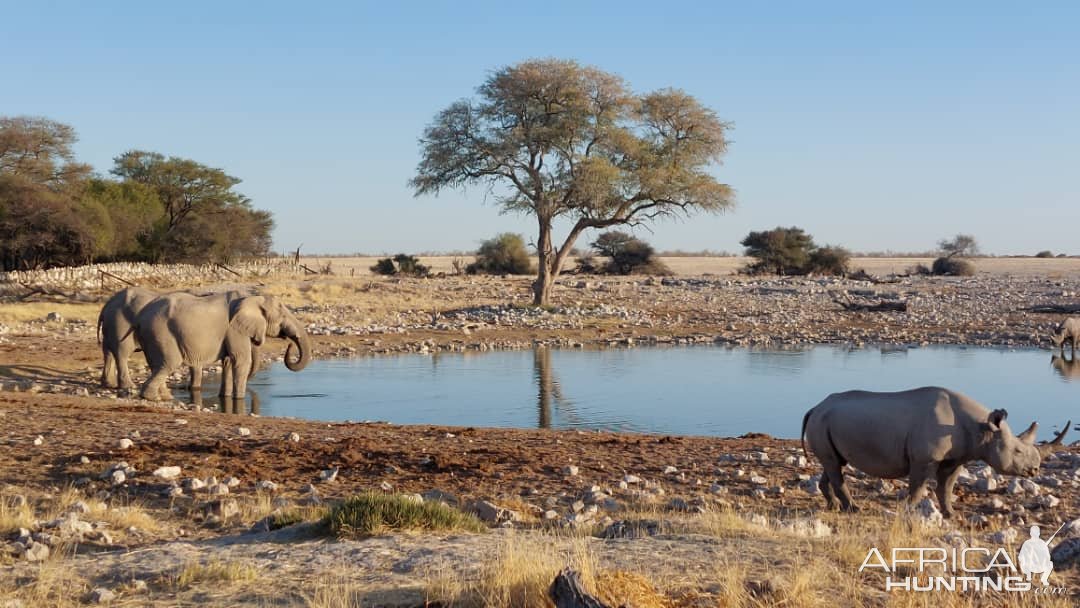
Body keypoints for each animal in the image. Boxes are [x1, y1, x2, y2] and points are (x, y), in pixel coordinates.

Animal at [134, 293, 311, 401]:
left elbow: (228, 362)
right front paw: (239, 399)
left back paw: (164, 397)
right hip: (161, 331)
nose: (289, 344)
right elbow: (241, 361)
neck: (252, 298)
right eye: (283, 316)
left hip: (152, 335)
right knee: (169, 363)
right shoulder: (234, 329)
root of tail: (140, 316)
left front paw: (224, 397)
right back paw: (152, 397)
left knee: (157, 365)